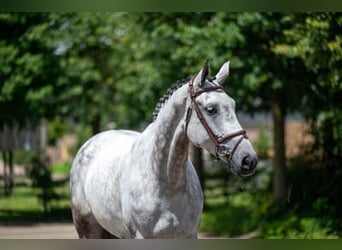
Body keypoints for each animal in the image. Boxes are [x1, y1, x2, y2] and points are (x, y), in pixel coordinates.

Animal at [69, 60, 256, 238]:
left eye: (233, 105)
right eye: (211, 109)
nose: (249, 160)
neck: (166, 181)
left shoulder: (189, 235)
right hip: (87, 228)